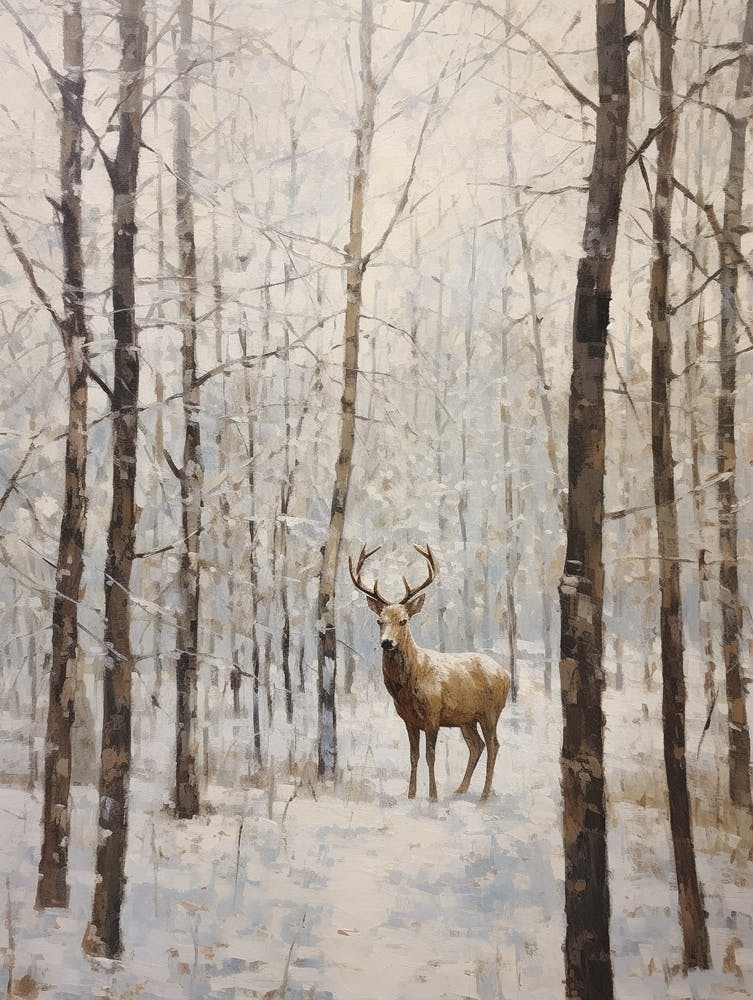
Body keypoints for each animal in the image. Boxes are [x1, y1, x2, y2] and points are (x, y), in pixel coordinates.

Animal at [349, 543, 511, 802]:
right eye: (379, 621)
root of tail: (505, 673)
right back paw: (461, 789)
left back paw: (484, 794)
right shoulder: (409, 720)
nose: (386, 643)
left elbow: (430, 756)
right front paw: (411, 794)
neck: (409, 686)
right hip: (467, 719)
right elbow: (413, 756)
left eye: (404, 620)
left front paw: (432, 796)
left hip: (491, 711)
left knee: (494, 745)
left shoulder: (433, 715)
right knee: (477, 746)